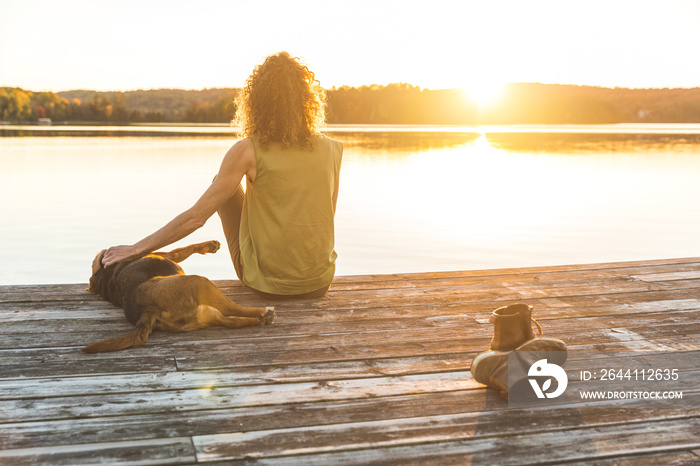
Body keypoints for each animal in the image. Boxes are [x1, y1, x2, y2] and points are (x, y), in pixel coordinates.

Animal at [83, 240, 274, 354]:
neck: (105, 276)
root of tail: (146, 309)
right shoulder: (168, 255)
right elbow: (183, 249)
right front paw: (208, 246)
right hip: (201, 283)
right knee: (233, 309)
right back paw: (265, 312)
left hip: (208, 314)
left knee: (232, 321)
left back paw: (260, 320)